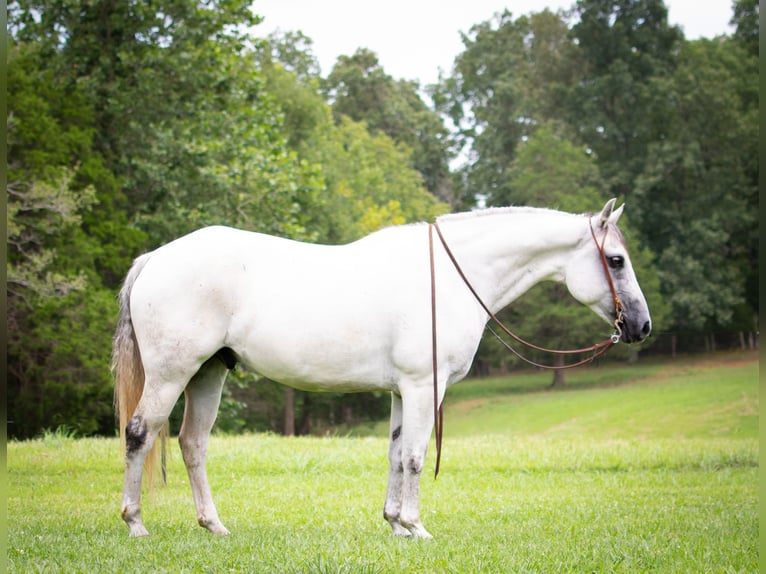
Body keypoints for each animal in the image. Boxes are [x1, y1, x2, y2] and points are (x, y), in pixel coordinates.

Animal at [114, 199, 656, 540]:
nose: (642, 326)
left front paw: (395, 522)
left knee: (192, 444)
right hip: (172, 373)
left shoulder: (401, 391)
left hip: (209, 372)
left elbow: (396, 455)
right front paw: (417, 525)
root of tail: (155, 259)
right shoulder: (424, 387)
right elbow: (415, 457)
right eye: (616, 260)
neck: (451, 279)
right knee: (140, 432)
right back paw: (135, 522)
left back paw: (214, 525)